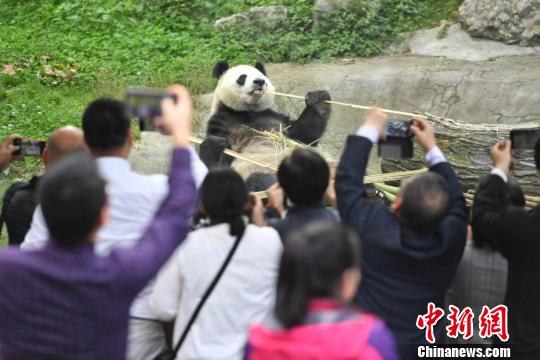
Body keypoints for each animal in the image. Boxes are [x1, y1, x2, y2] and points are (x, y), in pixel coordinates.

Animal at [200, 60, 332, 190]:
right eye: (242, 77)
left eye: (261, 76)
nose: (259, 81)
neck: (247, 111)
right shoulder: (222, 122)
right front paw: (213, 145)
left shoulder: (275, 118)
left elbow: (304, 136)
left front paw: (319, 100)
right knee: (259, 180)